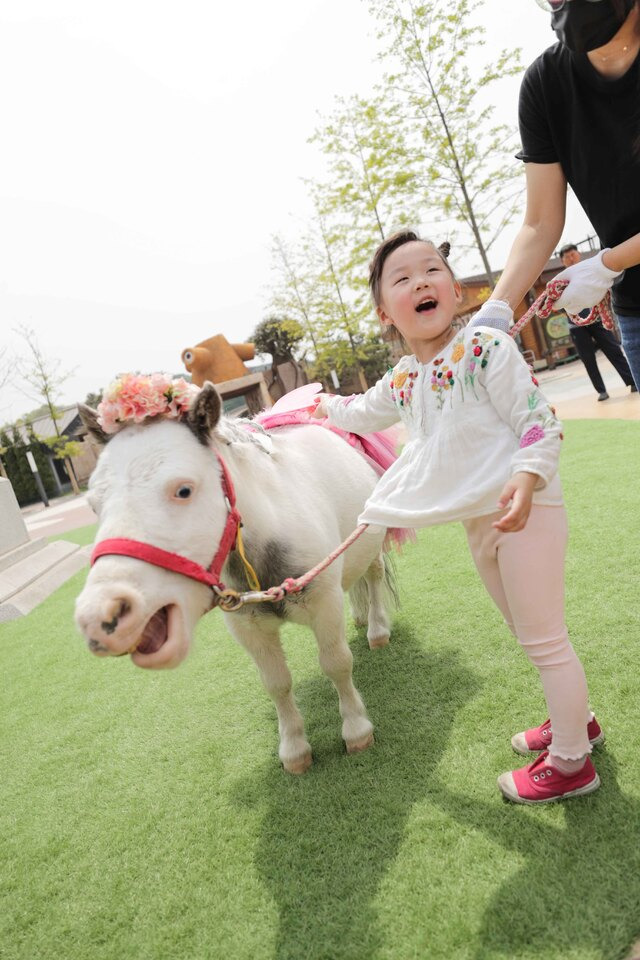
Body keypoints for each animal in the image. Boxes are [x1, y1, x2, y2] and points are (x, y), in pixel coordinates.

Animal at [74, 380, 396, 772]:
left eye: (183, 490)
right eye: (93, 505)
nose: (99, 616)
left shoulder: (324, 603)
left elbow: (337, 664)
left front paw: (356, 730)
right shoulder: (247, 626)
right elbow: (276, 683)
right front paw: (294, 750)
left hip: (373, 535)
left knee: (374, 576)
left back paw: (377, 629)